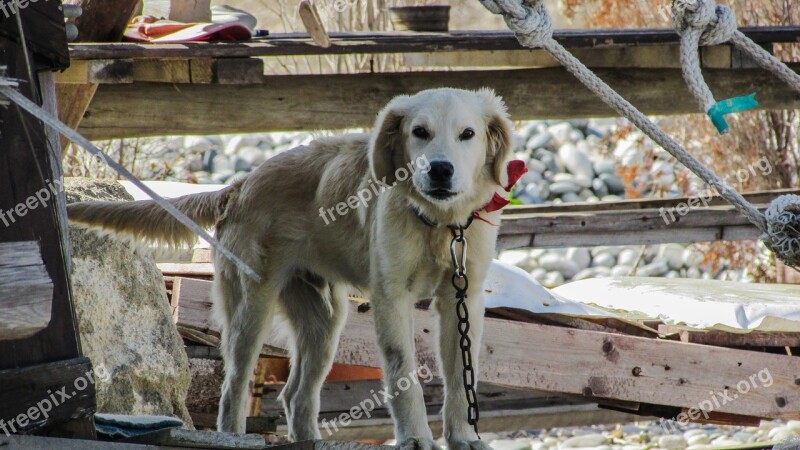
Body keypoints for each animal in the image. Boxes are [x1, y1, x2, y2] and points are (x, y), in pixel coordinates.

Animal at [67, 88, 512, 450]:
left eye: (467, 134)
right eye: (419, 132)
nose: (440, 170)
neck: (439, 223)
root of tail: (241, 185)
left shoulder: (463, 299)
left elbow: (462, 378)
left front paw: (464, 437)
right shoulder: (392, 298)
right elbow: (404, 375)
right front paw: (416, 437)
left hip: (325, 320)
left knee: (295, 395)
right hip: (252, 308)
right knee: (234, 387)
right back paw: (234, 436)